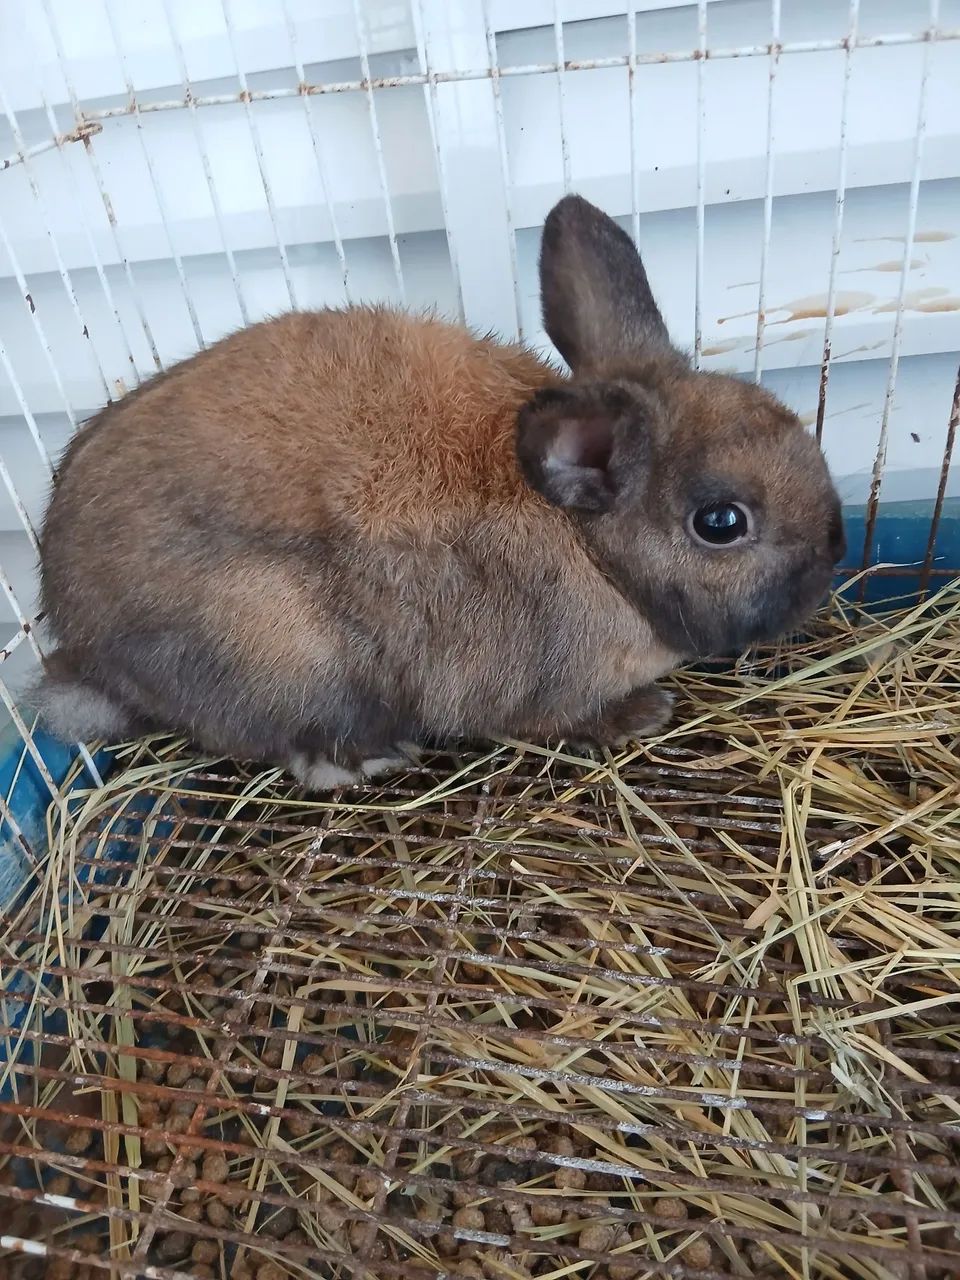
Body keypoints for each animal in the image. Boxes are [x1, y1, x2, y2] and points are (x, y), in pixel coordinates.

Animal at [34, 195, 845, 789]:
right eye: (721, 522)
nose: (834, 551)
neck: (592, 551)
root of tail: (81, 645)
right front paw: (643, 713)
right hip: (288, 653)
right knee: (293, 747)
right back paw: (374, 756)